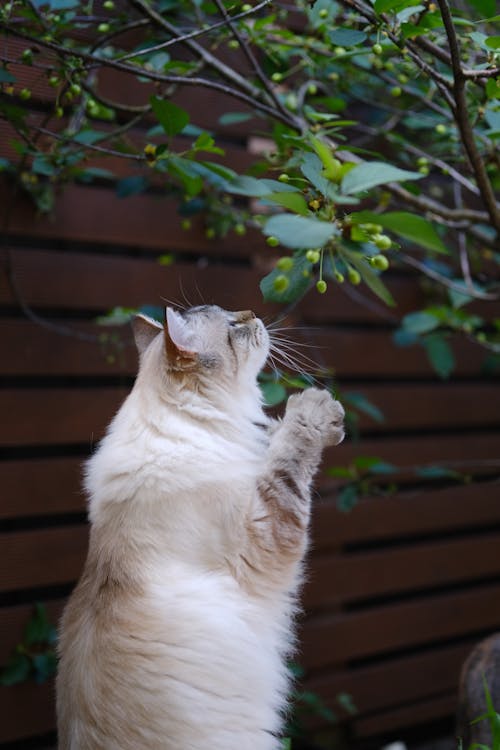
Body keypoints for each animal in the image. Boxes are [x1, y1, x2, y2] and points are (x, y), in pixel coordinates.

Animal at [54, 306, 344, 750]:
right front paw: (316, 410)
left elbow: (275, 443)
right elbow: (289, 460)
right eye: (233, 327)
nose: (252, 314)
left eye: (236, 316)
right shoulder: (266, 532)